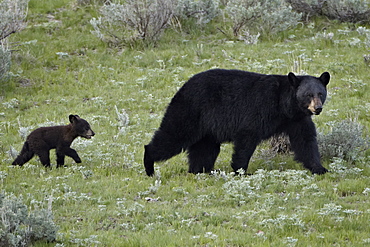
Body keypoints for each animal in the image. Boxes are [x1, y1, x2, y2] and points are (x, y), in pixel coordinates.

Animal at [144, 69, 330, 176]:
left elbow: (305, 141)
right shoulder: (261, 108)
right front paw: (241, 171)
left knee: (204, 149)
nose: (318, 108)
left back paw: (201, 170)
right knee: (173, 136)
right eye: (308, 94)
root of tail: (183, 86)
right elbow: (246, 138)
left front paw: (319, 168)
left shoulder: (297, 119)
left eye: (320, 93)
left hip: (206, 128)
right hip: (190, 111)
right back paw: (149, 167)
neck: (285, 105)